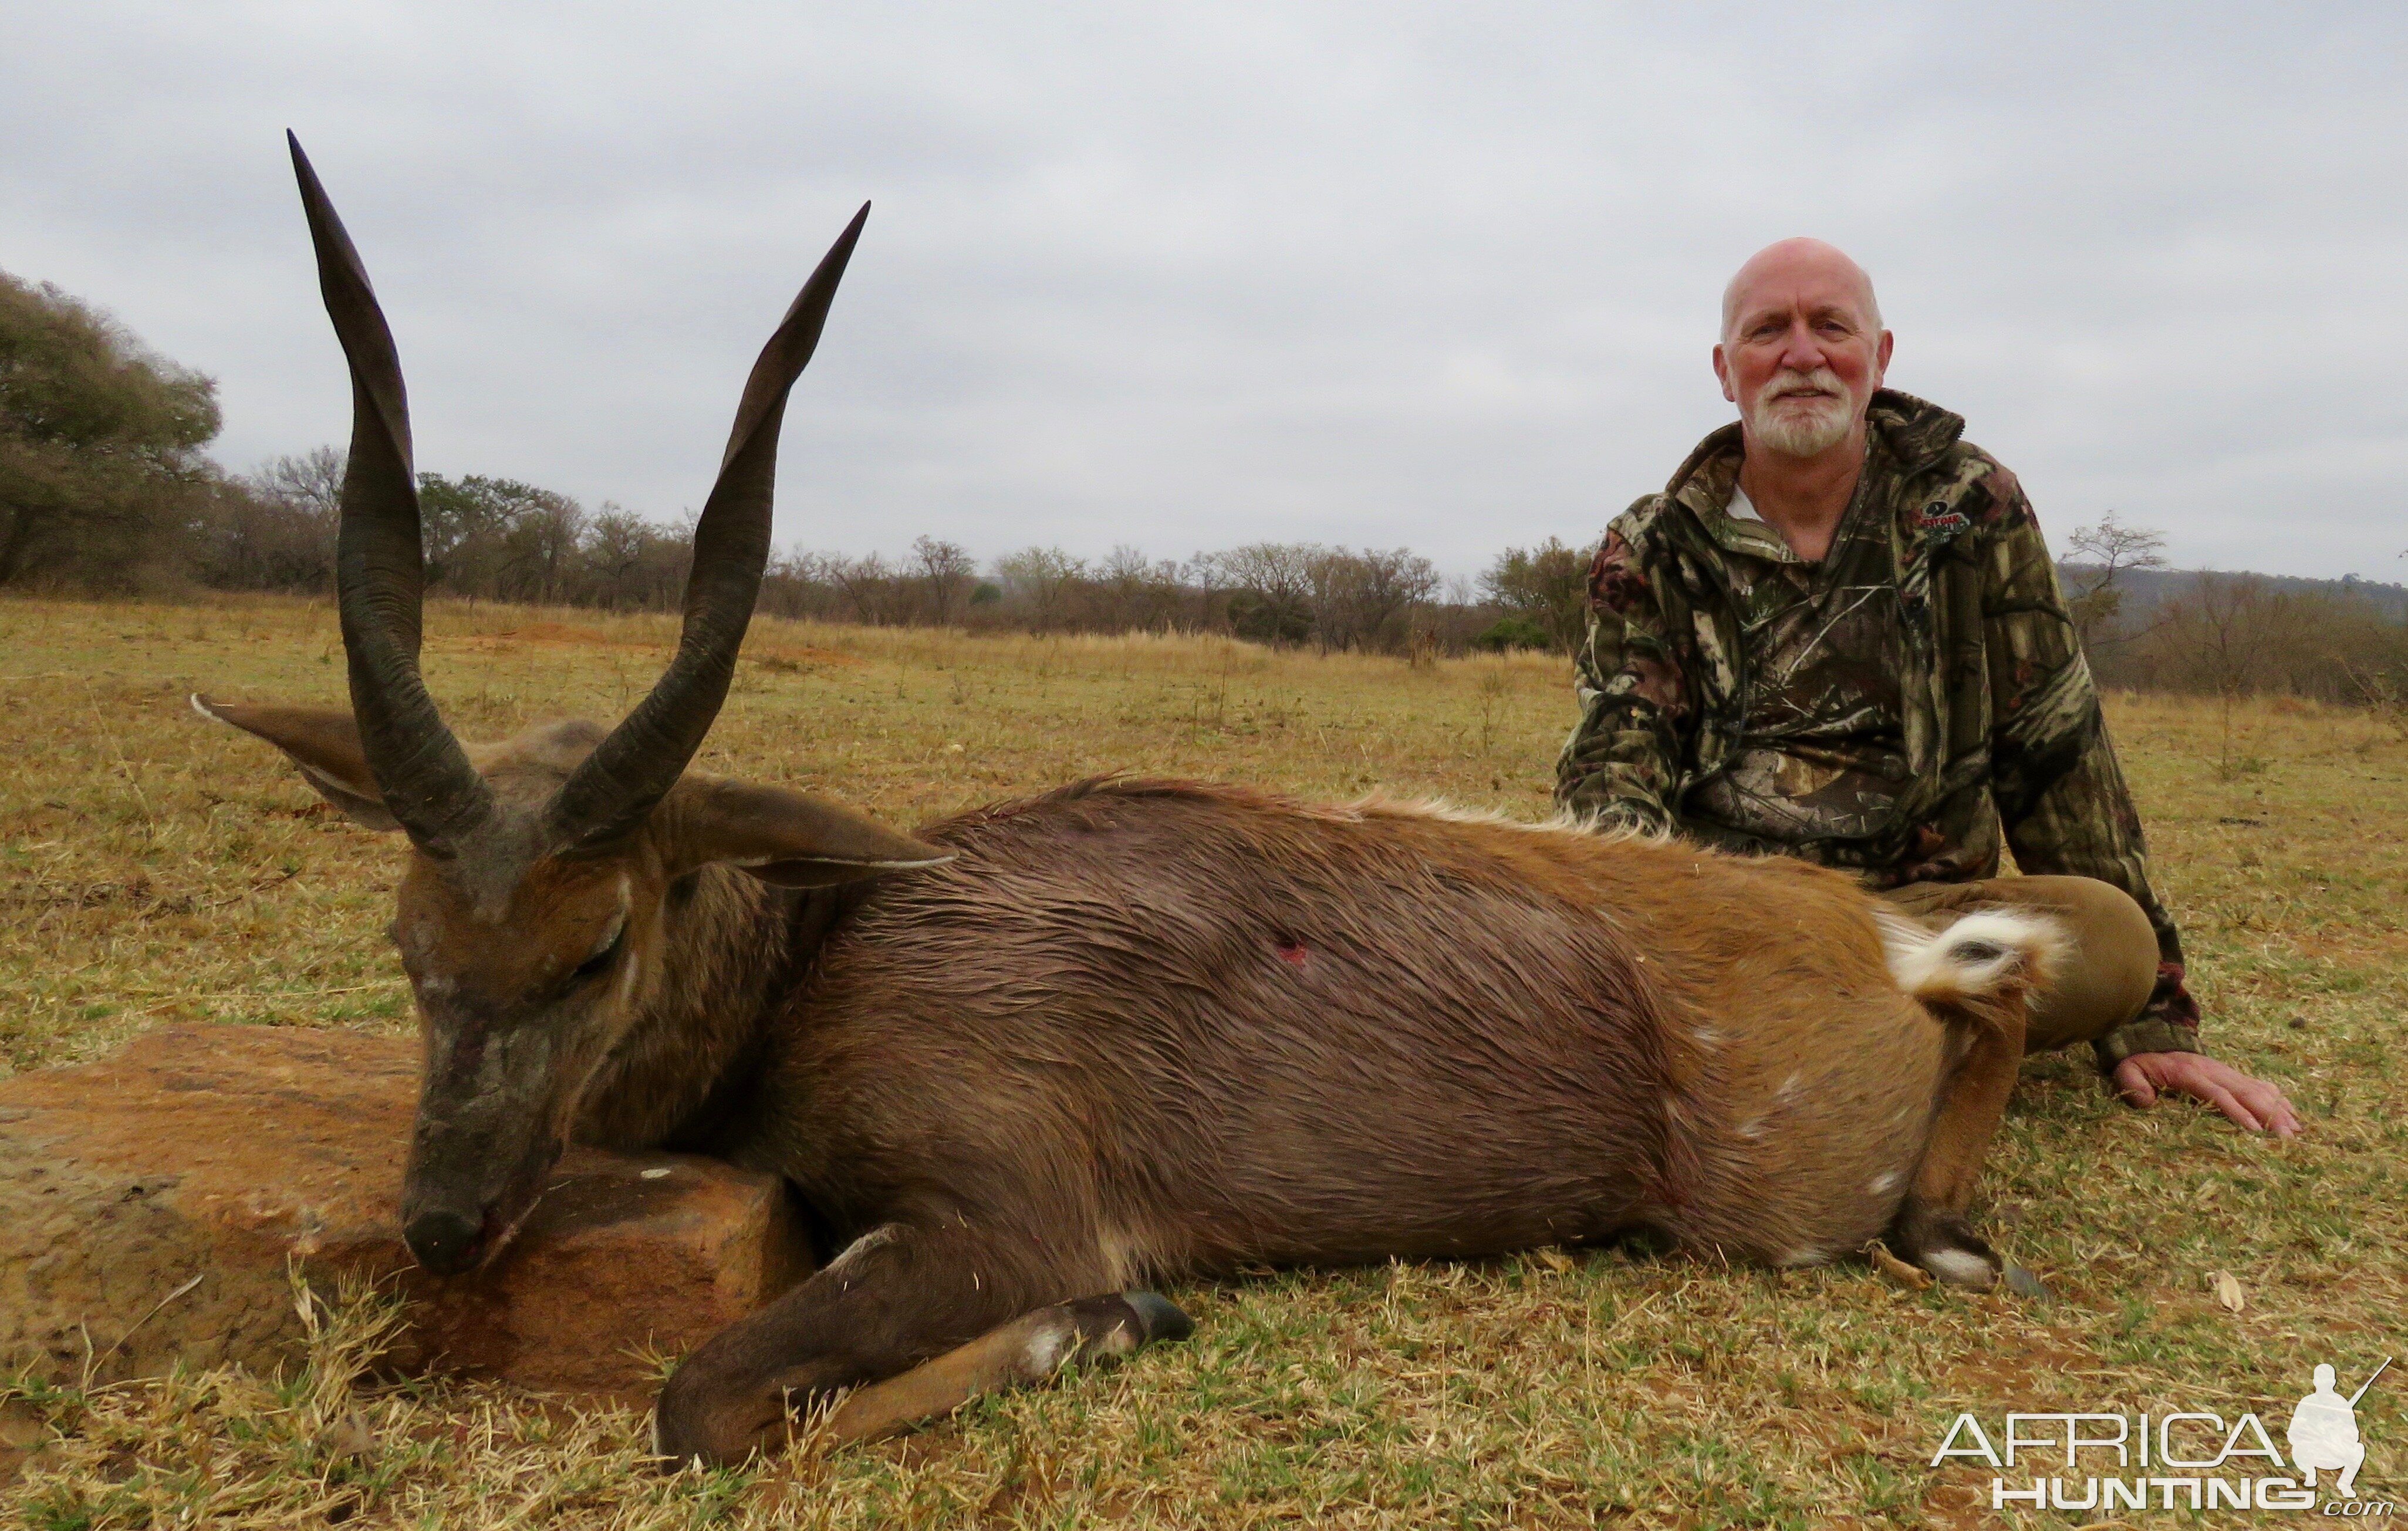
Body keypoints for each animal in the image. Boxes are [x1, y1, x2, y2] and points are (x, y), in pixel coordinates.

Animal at [197, 137, 2061, 1464]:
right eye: (407, 938)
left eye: (595, 946)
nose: (444, 1225)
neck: (831, 950)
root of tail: (1854, 938)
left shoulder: (1007, 1212)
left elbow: (708, 1404)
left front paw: (1116, 1324)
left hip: (1778, 1212)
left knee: (1999, 986)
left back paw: (1954, 1230)